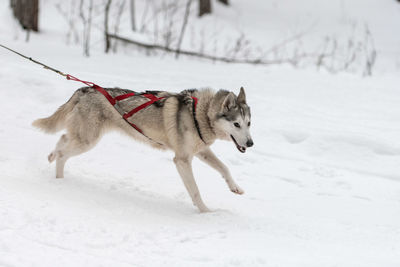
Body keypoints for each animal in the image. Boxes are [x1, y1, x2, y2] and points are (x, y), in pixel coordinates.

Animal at [33, 87, 253, 213]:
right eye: (236, 124)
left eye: (249, 123)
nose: (251, 143)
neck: (199, 113)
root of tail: (84, 89)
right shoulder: (182, 159)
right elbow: (196, 191)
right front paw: (207, 213)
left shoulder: (201, 151)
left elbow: (224, 168)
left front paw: (235, 188)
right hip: (87, 141)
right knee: (63, 153)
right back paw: (59, 178)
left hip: (84, 138)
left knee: (63, 139)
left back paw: (53, 160)